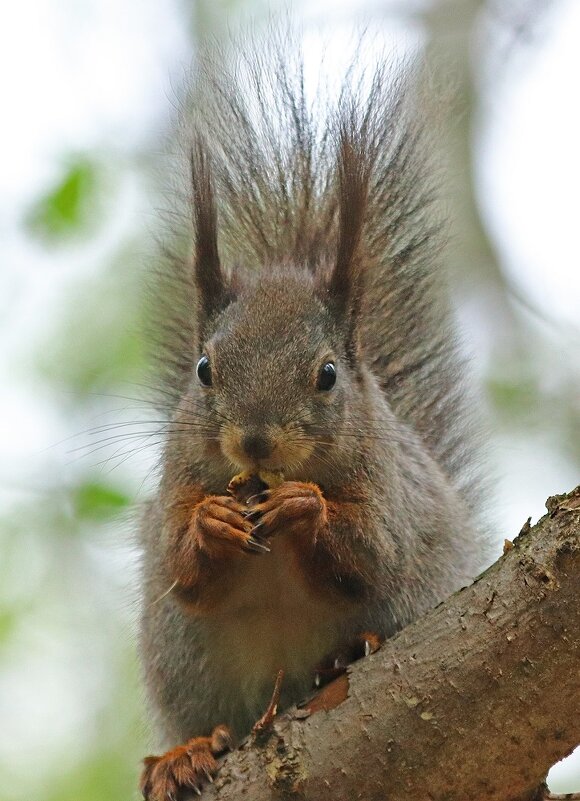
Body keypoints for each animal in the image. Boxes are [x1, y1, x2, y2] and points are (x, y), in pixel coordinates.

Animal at [136, 31, 490, 800]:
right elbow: (184, 567)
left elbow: (371, 554)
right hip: (180, 656)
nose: (255, 442)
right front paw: (212, 524)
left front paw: (305, 507)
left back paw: (349, 655)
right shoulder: (176, 481)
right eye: (203, 369)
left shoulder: (390, 491)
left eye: (327, 374)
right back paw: (184, 754)